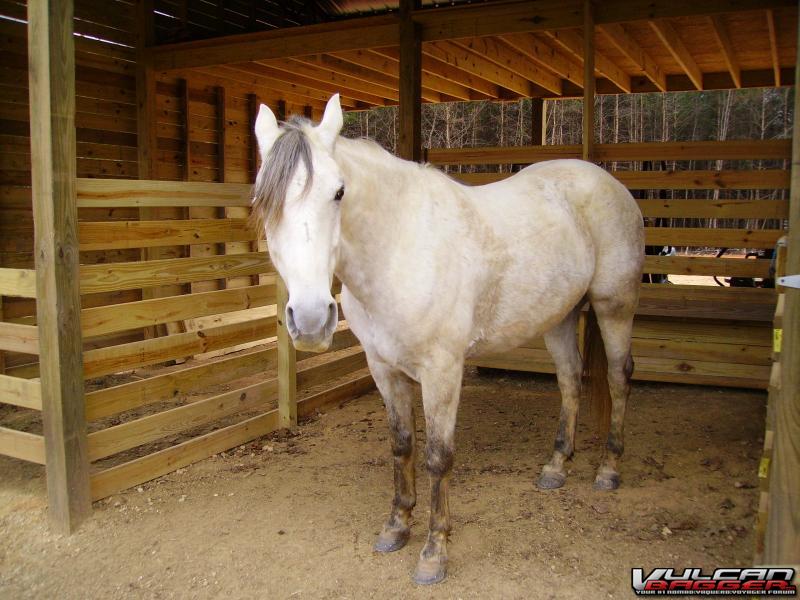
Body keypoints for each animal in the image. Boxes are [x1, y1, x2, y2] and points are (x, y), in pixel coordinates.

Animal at [253, 95, 648, 584]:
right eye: (262, 201)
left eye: (339, 192)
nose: (309, 319)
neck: (398, 249)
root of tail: (610, 183)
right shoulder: (383, 369)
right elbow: (402, 446)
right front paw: (396, 527)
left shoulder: (442, 371)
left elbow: (439, 456)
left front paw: (433, 553)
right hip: (560, 315)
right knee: (571, 381)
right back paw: (556, 467)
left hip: (615, 307)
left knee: (617, 378)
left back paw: (608, 470)